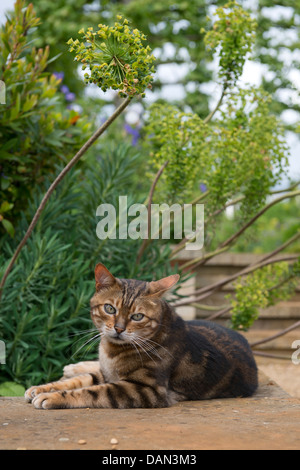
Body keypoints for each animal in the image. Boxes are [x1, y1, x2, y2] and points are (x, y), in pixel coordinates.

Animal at [24, 262, 258, 410]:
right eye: (109, 308)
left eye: (137, 316)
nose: (118, 328)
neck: (111, 351)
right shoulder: (107, 373)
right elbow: (79, 381)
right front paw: (42, 387)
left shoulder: (145, 389)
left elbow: (91, 392)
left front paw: (51, 396)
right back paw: (73, 366)